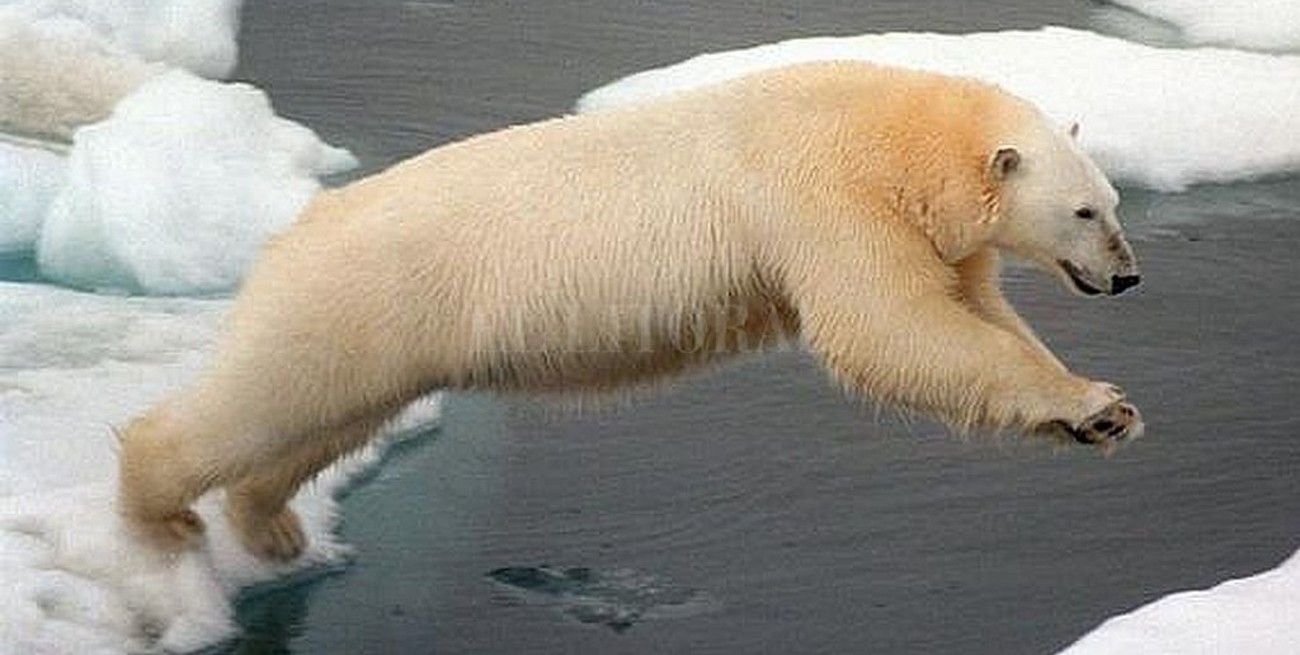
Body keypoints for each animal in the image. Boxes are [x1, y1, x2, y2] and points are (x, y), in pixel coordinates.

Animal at [118, 61, 1142, 561]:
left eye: (1112, 201)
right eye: (1086, 212)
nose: (1128, 277)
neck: (896, 131)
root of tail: (292, 230)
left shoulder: (931, 228)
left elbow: (971, 312)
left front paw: (1102, 411)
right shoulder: (822, 196)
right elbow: (887, 327)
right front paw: (1094, 402)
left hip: (381, 329)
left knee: (324, 419)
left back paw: (270, 524)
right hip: (359, 294)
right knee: (264, 397)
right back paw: (160, 512)